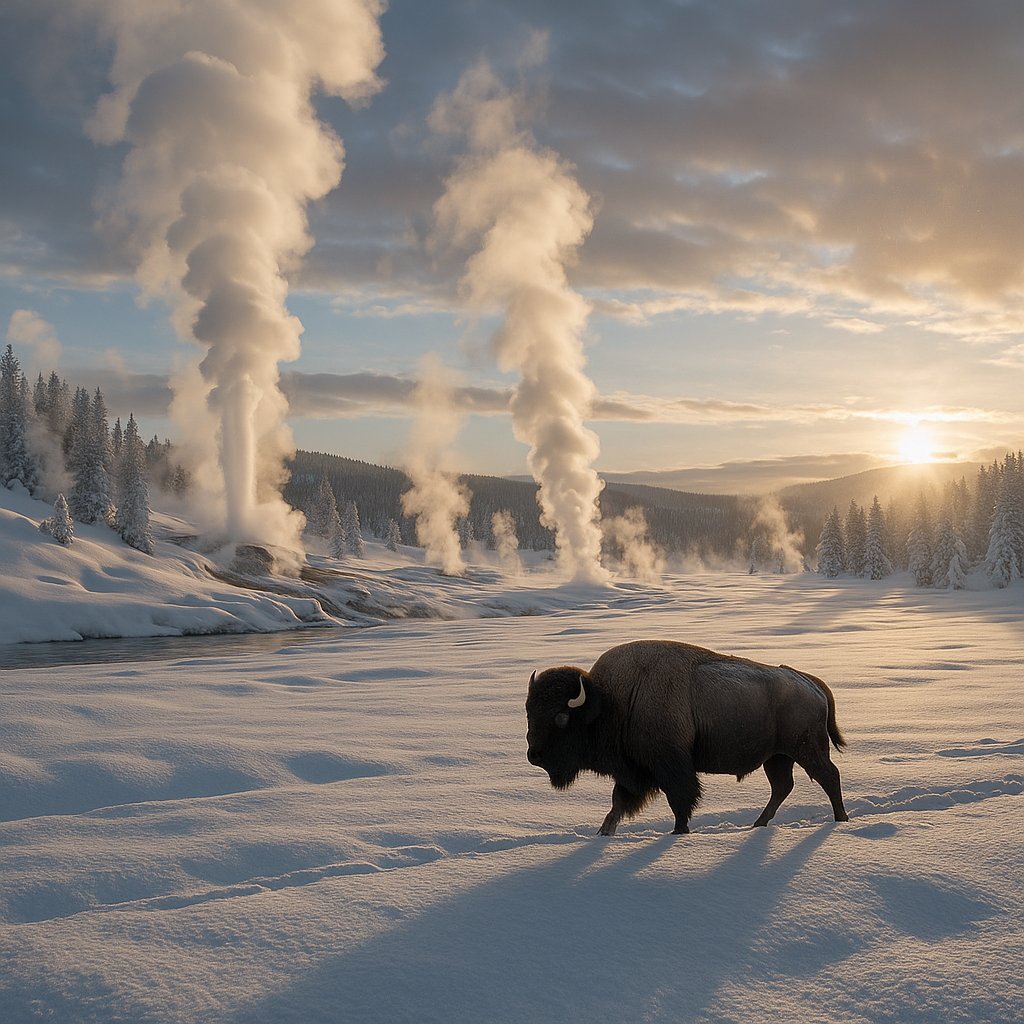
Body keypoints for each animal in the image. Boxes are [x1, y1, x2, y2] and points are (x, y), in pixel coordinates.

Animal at [526, 639, 849, 835]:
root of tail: (810, 682)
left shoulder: (672, 767)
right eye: (529, 712)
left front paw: (678, 832)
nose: (534, 755)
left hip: (806, 750)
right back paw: (758, 824)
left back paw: (841, 819)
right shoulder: (632, 772)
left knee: (829, 777)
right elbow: (618, 804)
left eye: (561, 718)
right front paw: (604, 832)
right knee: (783, 787)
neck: (611, 701)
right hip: (777, 757)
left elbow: (680, 801)